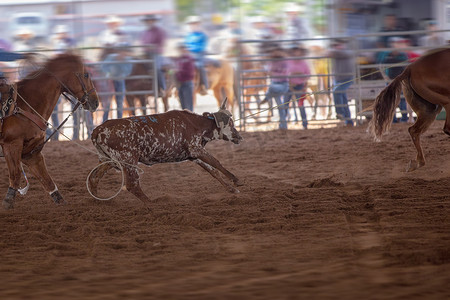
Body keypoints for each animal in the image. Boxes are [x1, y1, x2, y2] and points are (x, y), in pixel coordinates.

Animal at [0, 53, 98, 209]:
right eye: (86, 74)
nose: (96, 102)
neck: (23, 105)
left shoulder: (31, 152)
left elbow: (46, 179)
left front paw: (61, 202)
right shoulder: (11, 144)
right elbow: (15, 174)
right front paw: (7, 203)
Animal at [89, 98, 243, 204]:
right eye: (231, 124)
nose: (239, 137)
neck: (196, 124)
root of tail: (98, 130)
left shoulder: (194, 155)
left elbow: (213, 171)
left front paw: (231, 188)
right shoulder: (196, 149)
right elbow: (216, 163)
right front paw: (236, 181)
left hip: (108, 160)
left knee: (94, 178)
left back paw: (98, 200)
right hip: (128, 160)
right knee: (132, 185)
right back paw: (152, 204)